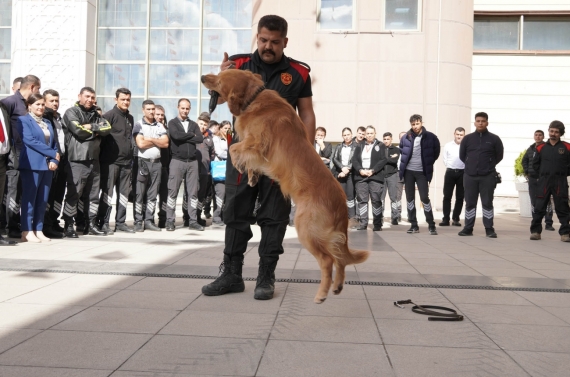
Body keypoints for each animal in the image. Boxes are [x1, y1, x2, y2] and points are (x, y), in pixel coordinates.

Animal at [201, 68, 368, 302]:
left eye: (220, 78)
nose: (202, 77)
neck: (254, 98)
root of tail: (341, 206)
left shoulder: (258, 143)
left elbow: (234, 149)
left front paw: (240, 165)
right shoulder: (257, 150)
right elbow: (248, 158)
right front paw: (252, 176)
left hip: (305, 228)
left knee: (328, 260)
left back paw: (321, 294)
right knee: (340, 259)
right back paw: (336, 287)